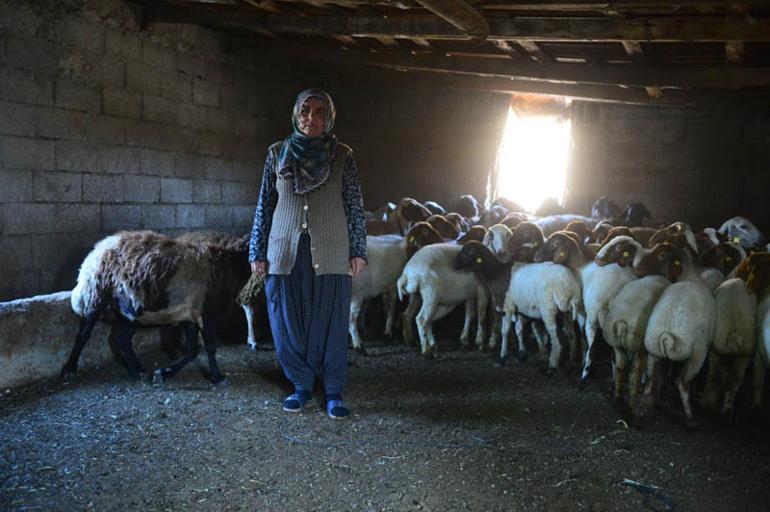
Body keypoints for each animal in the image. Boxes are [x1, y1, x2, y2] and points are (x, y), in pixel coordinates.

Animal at [64, 231, 232, 384]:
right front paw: (218, 377)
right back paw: (70, 369)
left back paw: (138, 371)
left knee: (122, 337)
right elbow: (209, 347)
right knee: (84, 334)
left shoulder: (191, 314)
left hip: (130, 309)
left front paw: (163, 373)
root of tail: (98, 247)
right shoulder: (205, 313)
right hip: (96, 294)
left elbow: (192, 351)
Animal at [632, 244, 712, 428]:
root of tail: (667, 335)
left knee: (649, 382)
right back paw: (691, 420)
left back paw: (643, 413)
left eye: (662, 255)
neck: (688, 275)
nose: (637, 268)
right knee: (682, 383)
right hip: (697, 354)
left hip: (653, 352)